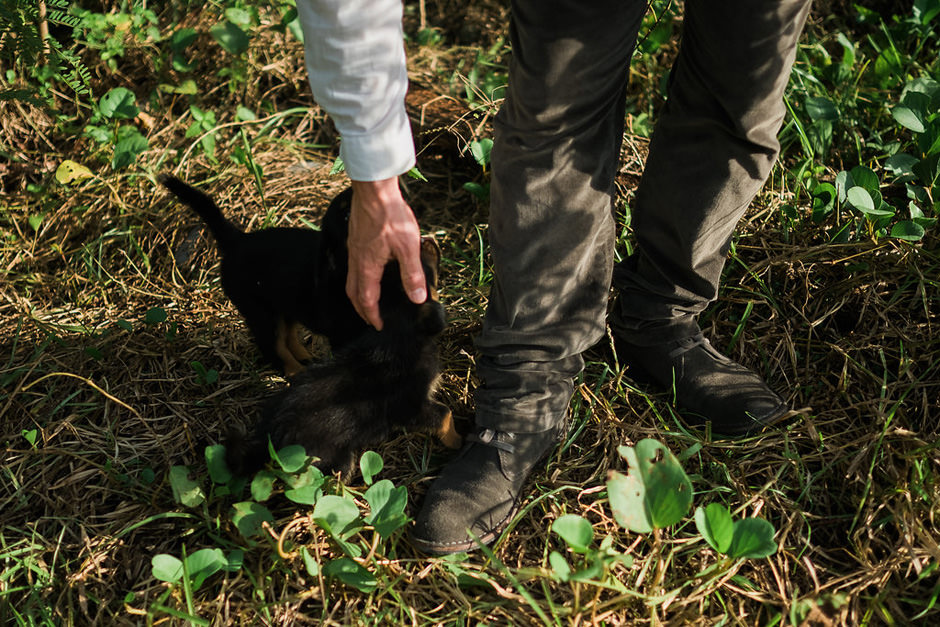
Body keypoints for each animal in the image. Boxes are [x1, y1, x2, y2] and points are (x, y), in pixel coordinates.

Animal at [160, 174, 366, 376]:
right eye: (347, 216)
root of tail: (238, 240)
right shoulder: (341, 332)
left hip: (283, 305)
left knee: (287, 336)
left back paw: (304, 358)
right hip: (259, 312)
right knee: (273, 346)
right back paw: (296, 371)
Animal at [228, 238, 462, 478]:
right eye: (423, 273)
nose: (427, 240)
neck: (394, 331)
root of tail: (270, 443)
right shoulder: (411, 405)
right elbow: (445, 415)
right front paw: (458, 442)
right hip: (336, 458)